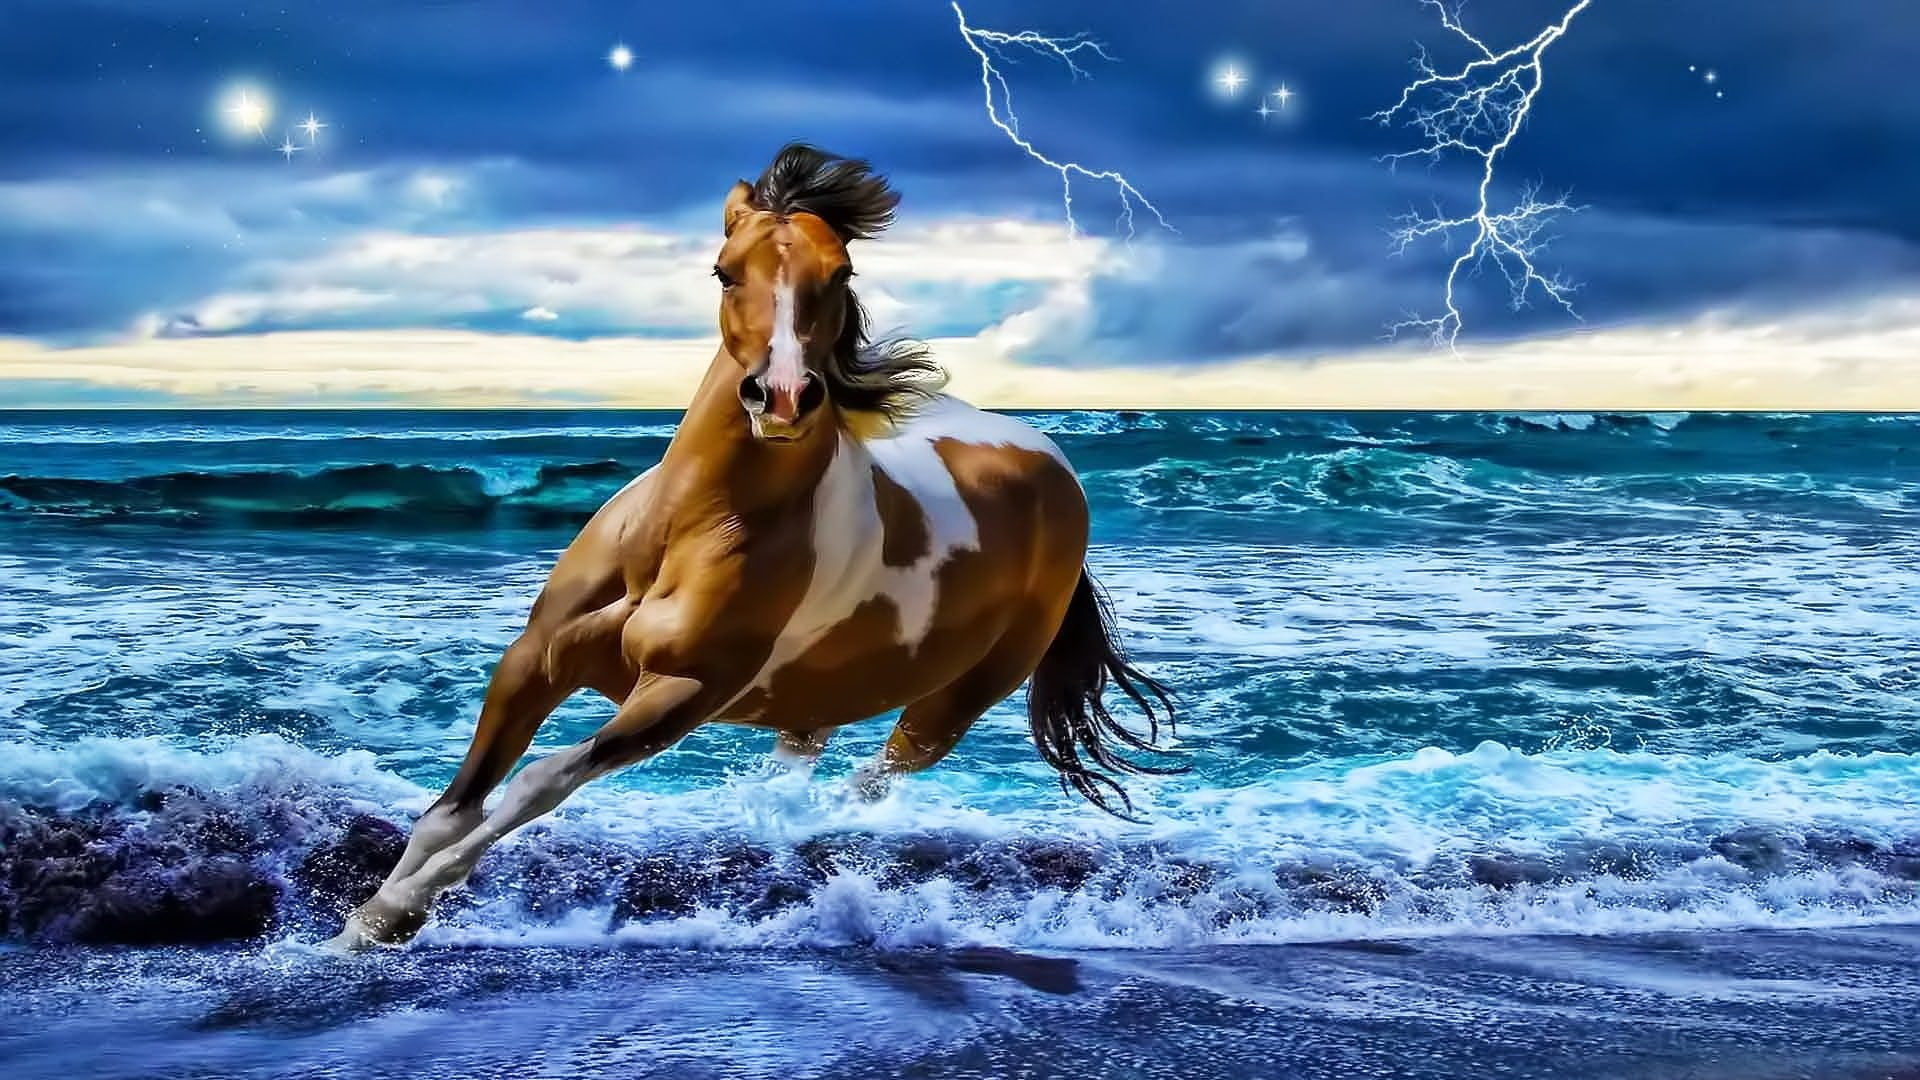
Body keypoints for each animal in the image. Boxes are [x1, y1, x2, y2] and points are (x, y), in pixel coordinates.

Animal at [327, 143, 1176, 951]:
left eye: (840, 273)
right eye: (724, 270)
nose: (785, 396)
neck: (685, 533)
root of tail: (1053, 466)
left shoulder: (681, 693)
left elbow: (540, 781)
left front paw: (391, 915)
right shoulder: (534, 659)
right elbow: (452, 809)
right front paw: (351, 930)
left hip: (955, 701)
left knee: (872, 779)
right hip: (821, 694)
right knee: (805, 759)